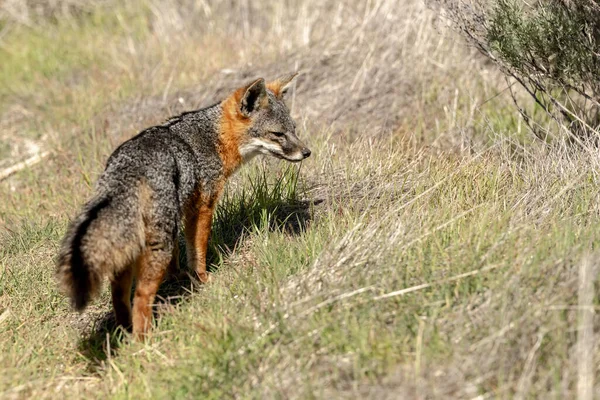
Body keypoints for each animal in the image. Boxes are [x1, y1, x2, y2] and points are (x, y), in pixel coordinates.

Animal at [55, 74, 310, 338]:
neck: (214, 137)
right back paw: (143, 340)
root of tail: (126, 170)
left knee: (119, 295)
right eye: (278, 134)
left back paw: (126, 332)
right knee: (141, 296)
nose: (307, 152)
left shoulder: (181, 208)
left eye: (293, 130)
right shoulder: (203, 207)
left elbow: (180, 254)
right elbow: (197, 249)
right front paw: (202, 278)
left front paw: (177, 275)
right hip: (158, 246)